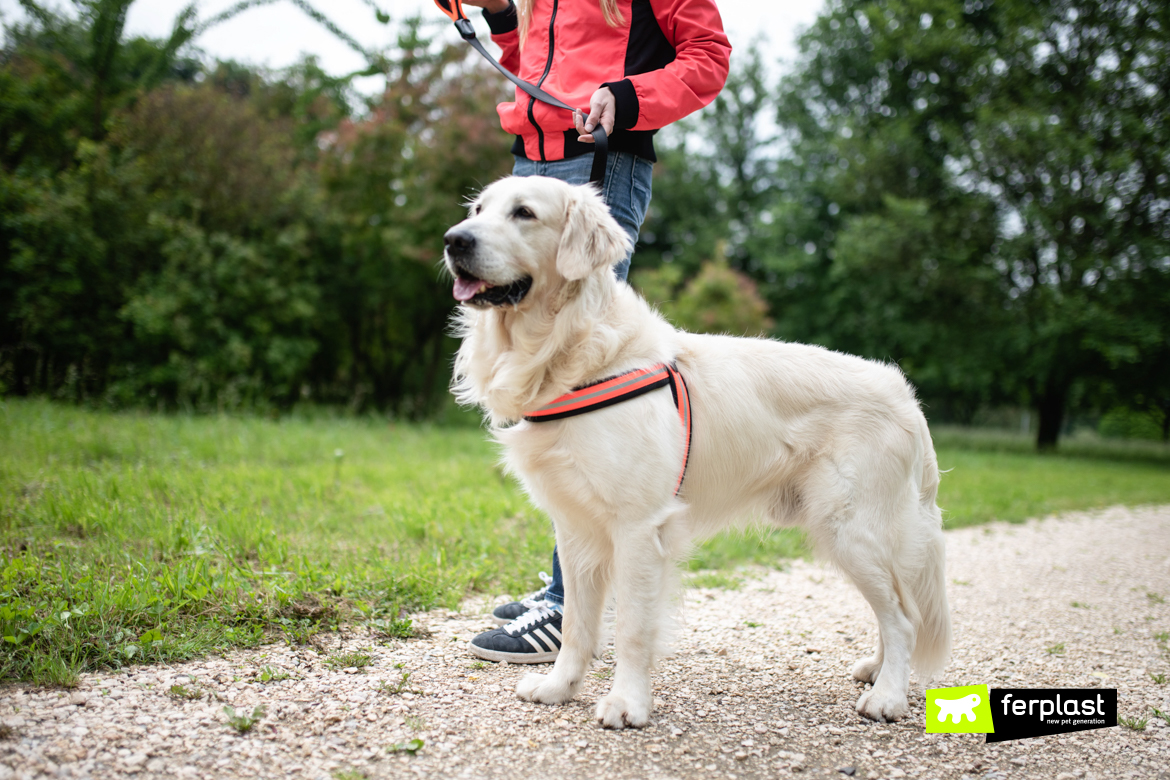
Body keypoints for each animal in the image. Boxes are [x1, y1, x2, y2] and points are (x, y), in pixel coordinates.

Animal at [442, 174, 945, 729]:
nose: (453, 240)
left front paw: (627, 703)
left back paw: (888, 696)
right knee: (894, 609)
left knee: (904, 617)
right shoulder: (574, 529)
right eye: (478, 209)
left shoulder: (638, 527)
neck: (574, 351)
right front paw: (558, 687)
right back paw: (876, 670)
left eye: (524, 213)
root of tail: (905, 394)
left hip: (852, 527)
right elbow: (576, 623)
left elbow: (633, 628)